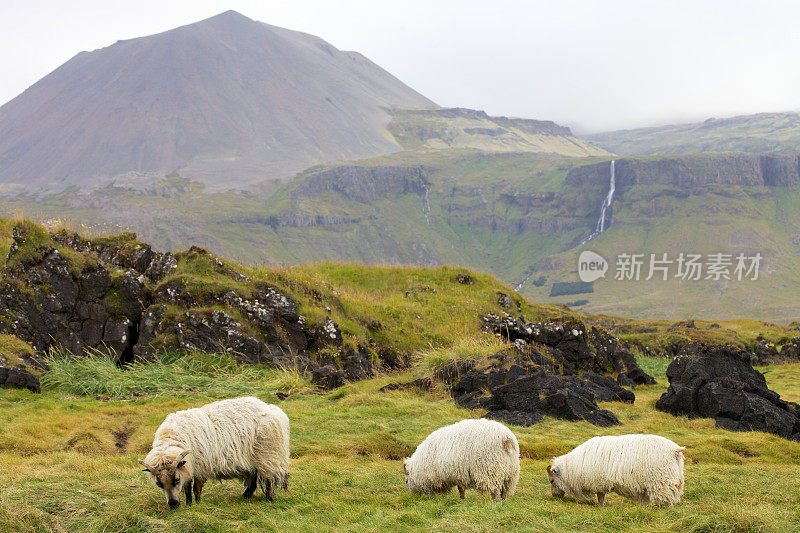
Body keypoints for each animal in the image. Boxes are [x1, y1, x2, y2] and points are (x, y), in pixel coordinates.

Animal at [138, 394, 290, 508]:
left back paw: (269, 499)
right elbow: (187, 488)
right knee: (253, 480)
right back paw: (245, 496)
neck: (173, 438)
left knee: (269, 479)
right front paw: (189, 505)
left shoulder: (200, 467)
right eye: (158, 484)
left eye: (176, 480)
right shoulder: (188, 467)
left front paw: (197, 504)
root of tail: (271, 408)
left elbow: (196, 488)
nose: (173, 505)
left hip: (268, 454)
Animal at [548, 434, 684, 504]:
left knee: (666, 498)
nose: (554, 497)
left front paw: (601, 507)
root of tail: (675, 450)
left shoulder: (598, 482)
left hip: (661, 480)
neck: (573, 466)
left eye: (551, 481)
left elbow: (600, 497)